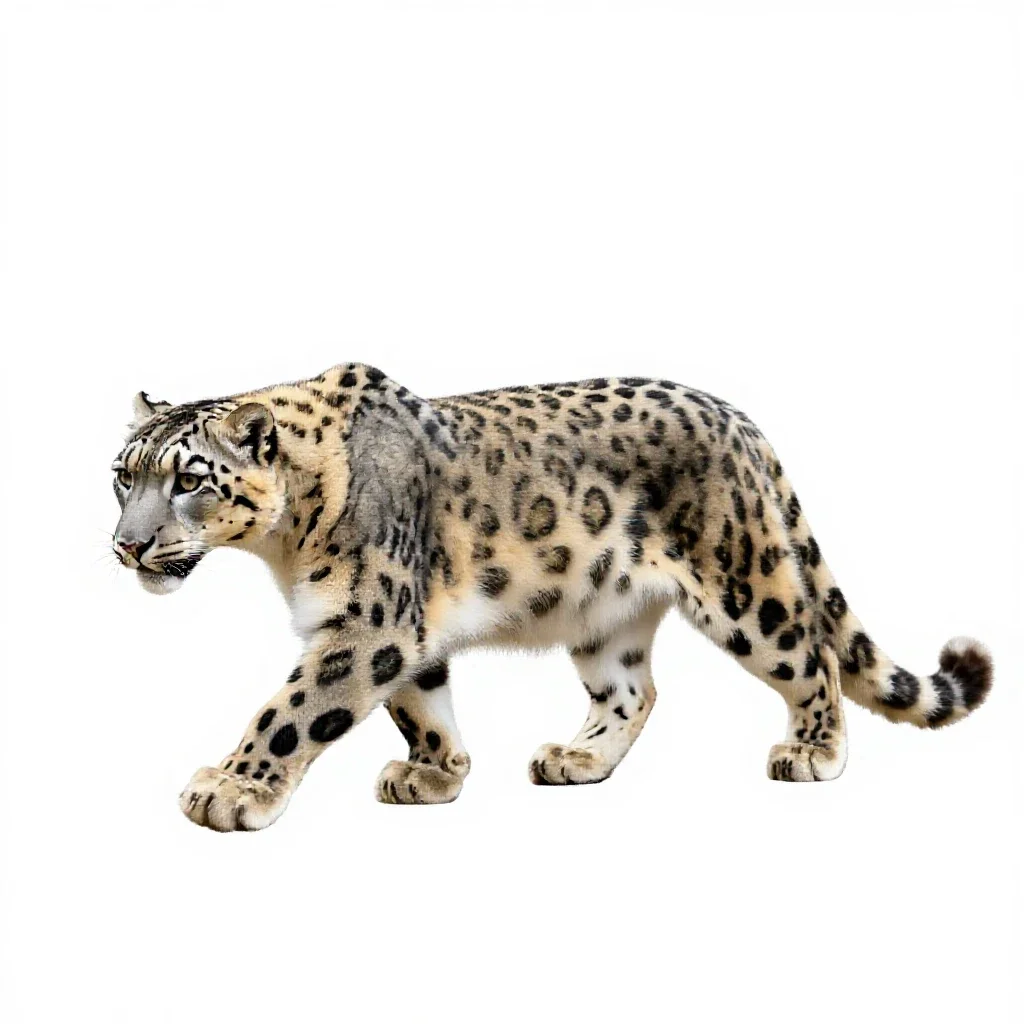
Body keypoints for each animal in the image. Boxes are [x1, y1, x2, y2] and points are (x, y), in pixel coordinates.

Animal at [109, 364, 993, 830]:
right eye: (123, 474)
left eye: (189, 480)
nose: (128, 545)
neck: (285, 547)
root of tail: (736, 416)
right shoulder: (402, 630)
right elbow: (421, 704)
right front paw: (436, 774)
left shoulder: (370, 622)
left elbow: (291, 710)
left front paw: (229, 788)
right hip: (605, 616)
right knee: (634, 690)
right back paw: (579, 757)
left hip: (745, 586)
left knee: (810, 653)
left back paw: (812, 751)